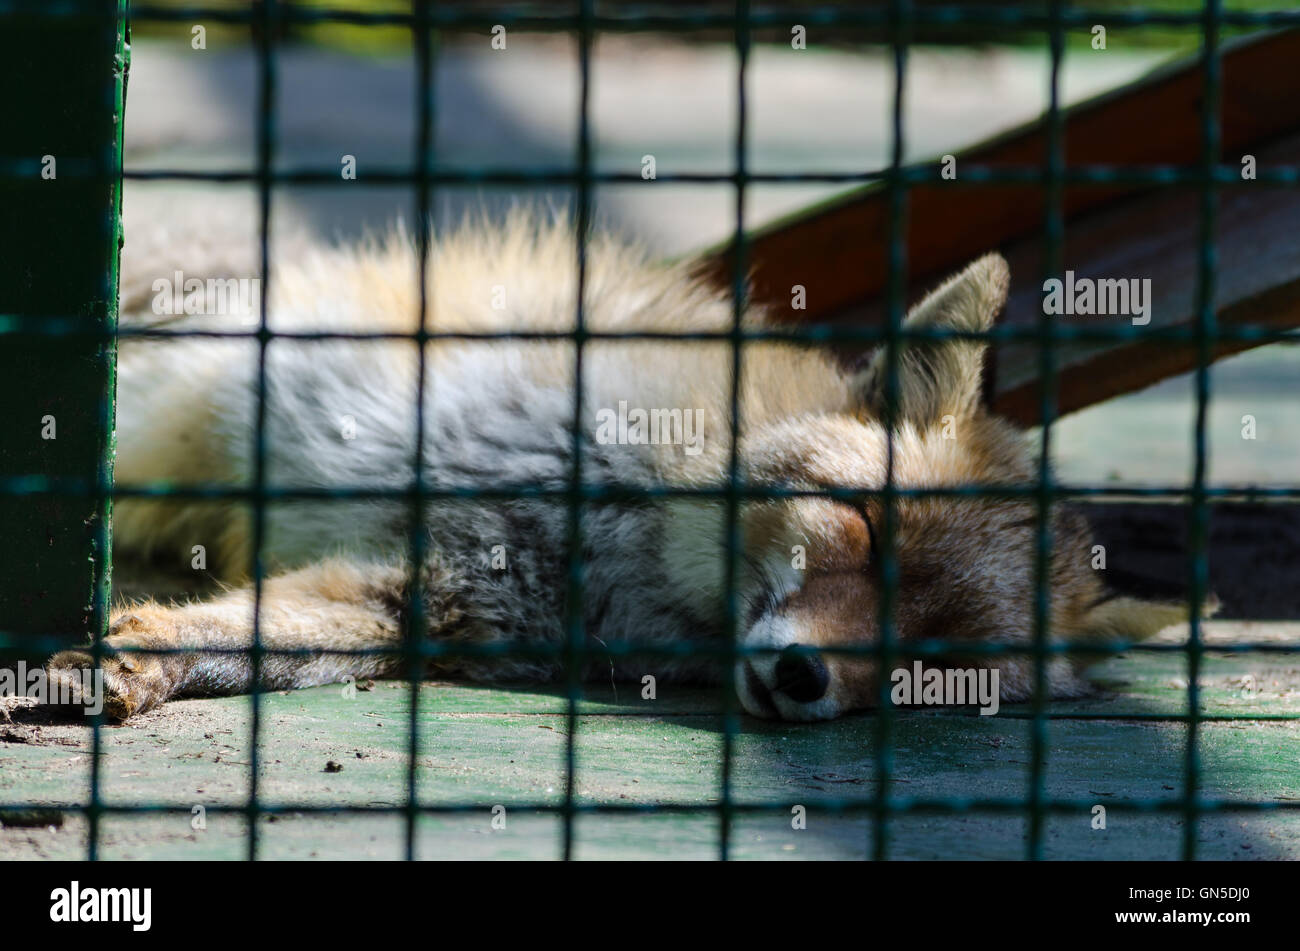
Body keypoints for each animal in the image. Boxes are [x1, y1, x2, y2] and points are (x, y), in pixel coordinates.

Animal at [48, 213, 1190, 722]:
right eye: (865, 528)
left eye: (941, 662)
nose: (801, 675)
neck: (626, 548)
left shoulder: (421, 597)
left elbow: (250, 640)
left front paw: (142, 664)